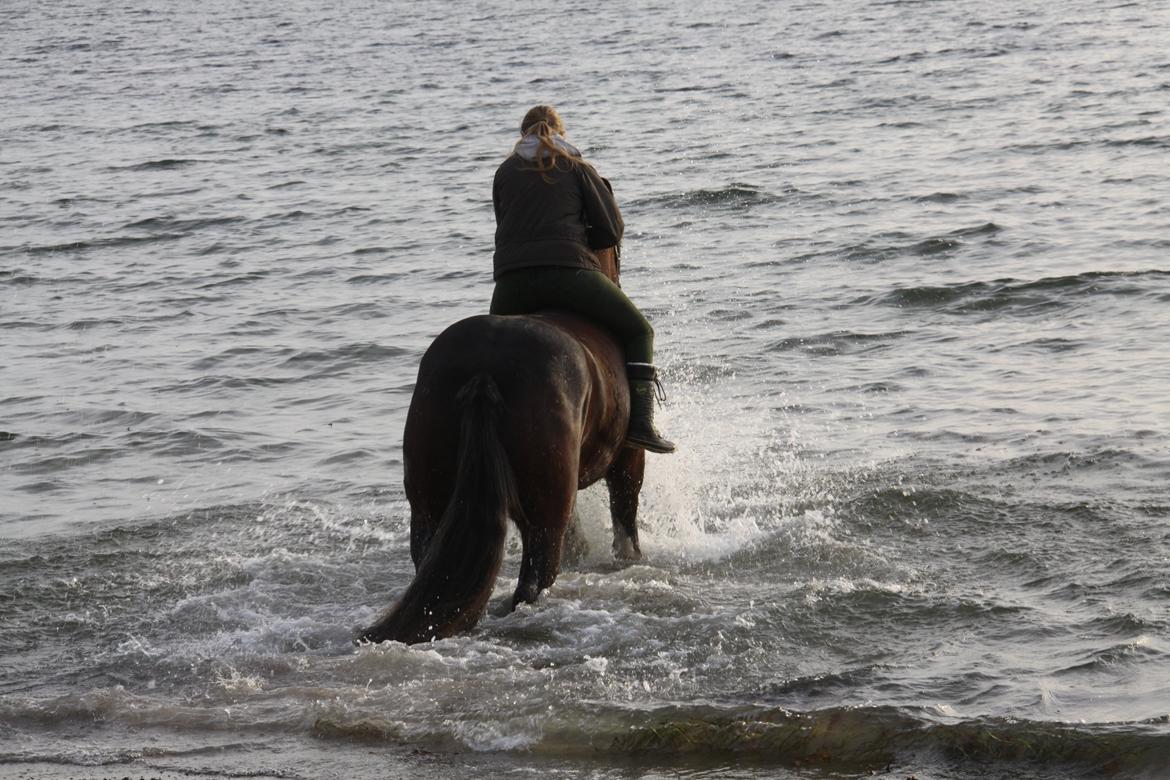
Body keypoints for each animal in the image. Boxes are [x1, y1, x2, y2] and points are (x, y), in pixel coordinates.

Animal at [358, 249, 650, 645]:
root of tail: (485, 370)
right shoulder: (628, 458)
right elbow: (625, 518)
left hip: (430, 504)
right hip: (545, 513)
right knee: (534, 581)